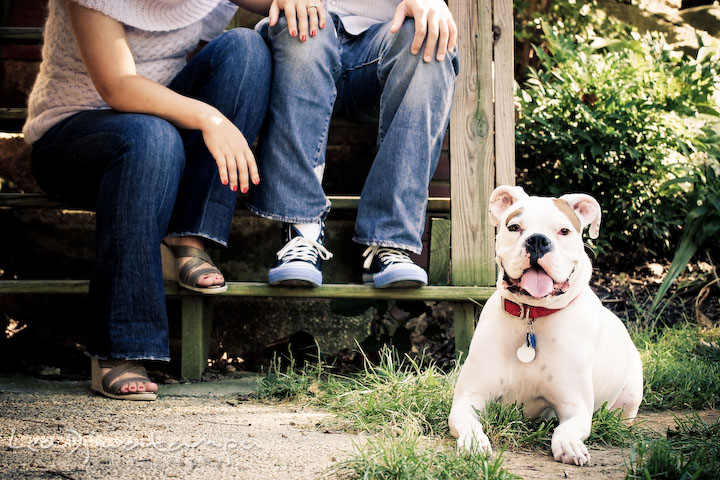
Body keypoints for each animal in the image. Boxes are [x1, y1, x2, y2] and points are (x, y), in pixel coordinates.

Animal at [450, 187, 640, 464]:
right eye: (514, 227)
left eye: (564, 231)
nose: (538, 240)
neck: (532, 316)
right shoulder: (469, 397)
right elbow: (468, 421)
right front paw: (474, 441)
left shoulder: (574, 406)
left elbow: (567, 429)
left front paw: (570, 445)